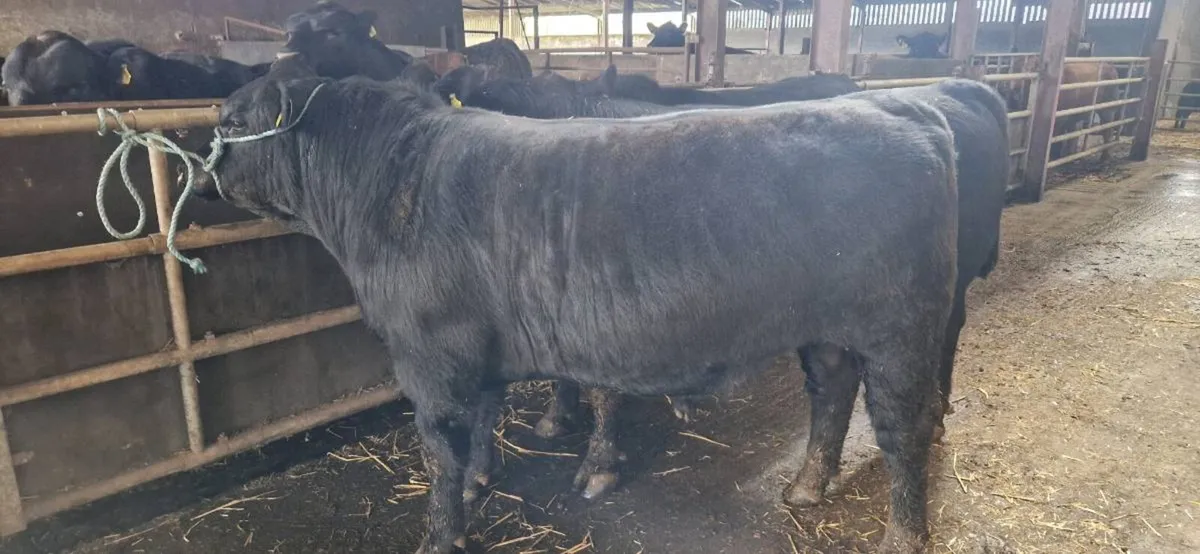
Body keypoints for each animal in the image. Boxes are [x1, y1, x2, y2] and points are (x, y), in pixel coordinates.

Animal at [191, 59, 961, 553]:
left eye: (231, 118)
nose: (200, 177)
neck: (390, 185)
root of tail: (901, 107)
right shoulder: (478, 351)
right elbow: (480, 424)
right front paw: (481, 483)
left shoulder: (429, 358)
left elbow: (440, 450)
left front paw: (443, 533)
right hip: (828, 330)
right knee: (831, 395)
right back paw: (805, 486)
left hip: (900, 329)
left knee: (901, 426)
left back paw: (903, 533)